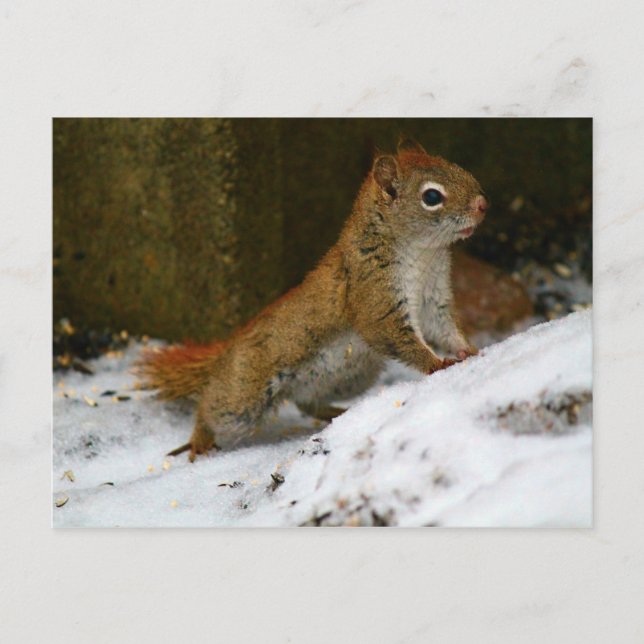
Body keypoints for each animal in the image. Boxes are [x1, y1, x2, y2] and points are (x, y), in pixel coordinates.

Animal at [136, 139, 488, 461]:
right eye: (432, 197)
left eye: (456, 166)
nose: (483, 204)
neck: (424, 254)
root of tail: (229, 349)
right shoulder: (374, 294)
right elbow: (396, 336)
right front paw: (438, 364)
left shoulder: (433, 301)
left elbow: (445, 330)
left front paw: (470, 351)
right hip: (245, 395)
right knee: (213, 406)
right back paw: (199, 440)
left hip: (349, 376)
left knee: (306, 401)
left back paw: (337, 414)